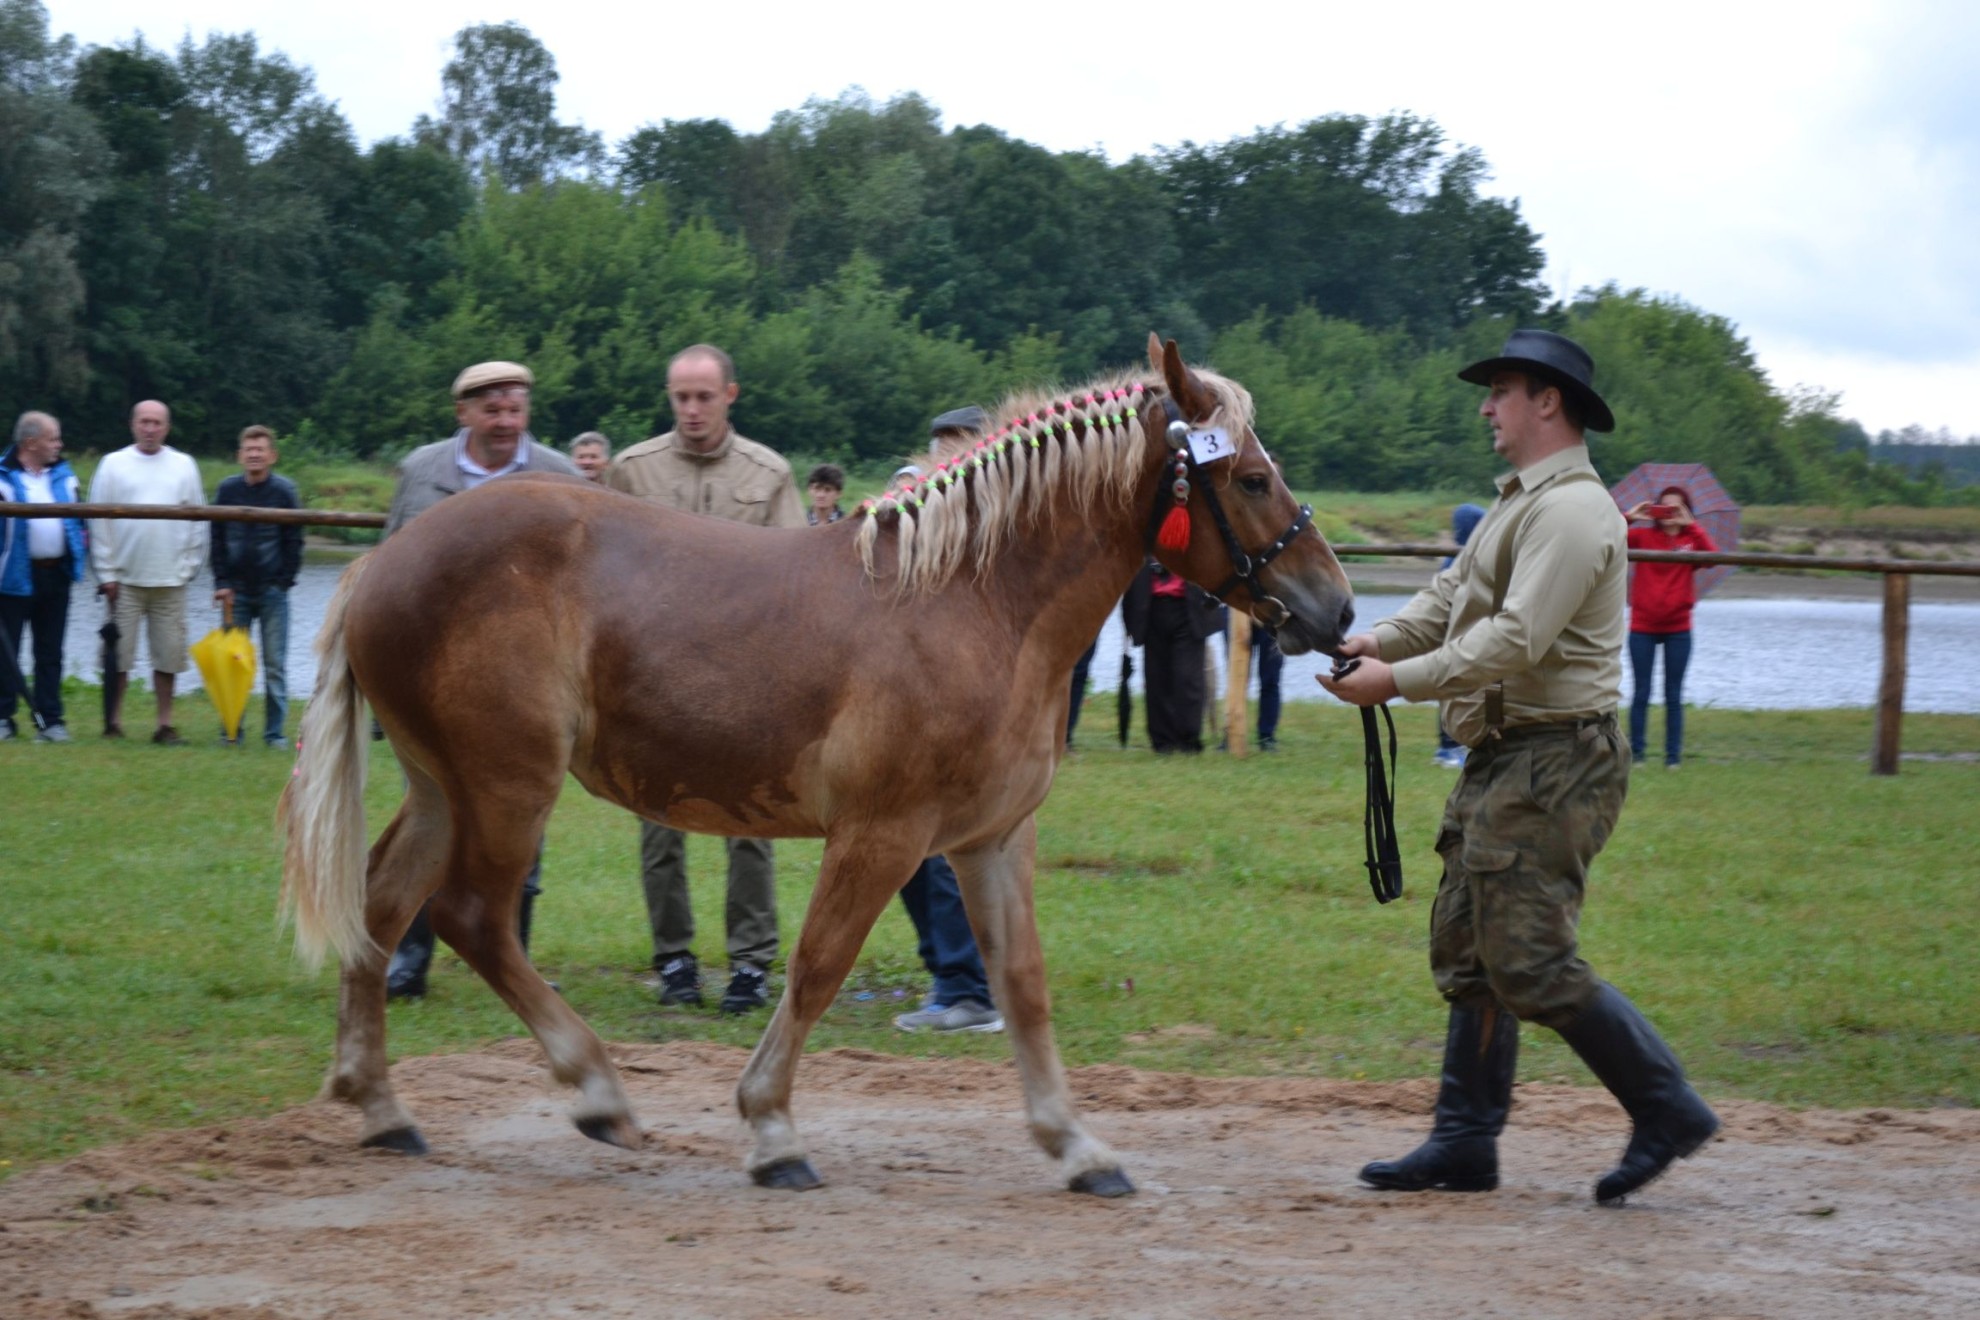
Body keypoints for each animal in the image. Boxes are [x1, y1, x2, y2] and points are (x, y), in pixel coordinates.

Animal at [280, 334, 1355, 1197]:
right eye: (1250, 479)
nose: (1337, 607)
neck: (973, 604)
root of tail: (382, 561)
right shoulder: (882, 835)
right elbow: (817, 966)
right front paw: (773, 1133)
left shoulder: (990, 839)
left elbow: (1021, 983)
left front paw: (1079, 1148)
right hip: (507, 786)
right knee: (473, 918)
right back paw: (597, 1094)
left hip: (442, 787)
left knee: (384, 906)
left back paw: (382, 1108)